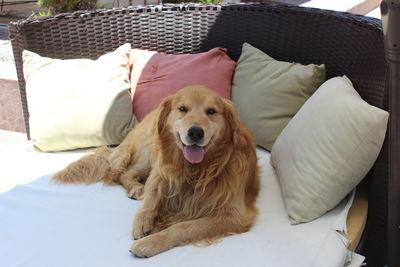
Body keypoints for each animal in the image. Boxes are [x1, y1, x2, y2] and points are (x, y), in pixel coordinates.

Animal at [52, 86, 260, 258]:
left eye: (211, 111)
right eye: (182, 109)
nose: (195, 132)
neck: (194, 170)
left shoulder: (233, 215)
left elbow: (184, 226)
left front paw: (151, 242)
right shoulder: (161, 172)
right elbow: (152, 196)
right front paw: (143, 219)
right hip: (149, 150)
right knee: (123, 173)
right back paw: (136, 188)